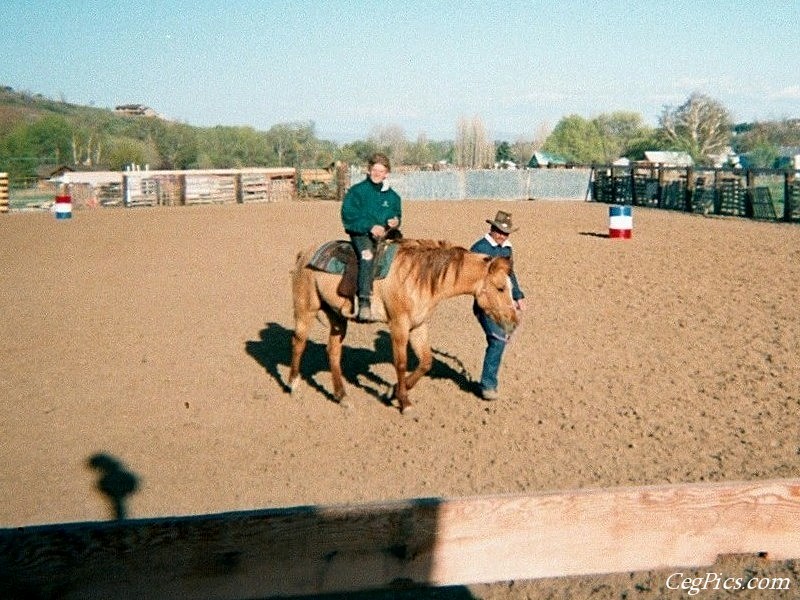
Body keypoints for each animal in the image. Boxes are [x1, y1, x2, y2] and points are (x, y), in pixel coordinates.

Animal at [288, 237, 520, 414]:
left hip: (337, 317)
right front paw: (404, 402)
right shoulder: (399, 325)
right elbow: (401, 363)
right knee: (299, 341)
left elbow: (426, 361)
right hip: (305, 308)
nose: (514, 321)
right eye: (500, 288)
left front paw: (391, 392)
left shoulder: (419, 326)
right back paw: (292, 383)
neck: (418, 278)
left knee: (333, 352)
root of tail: (304, 253)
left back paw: (342, 396)